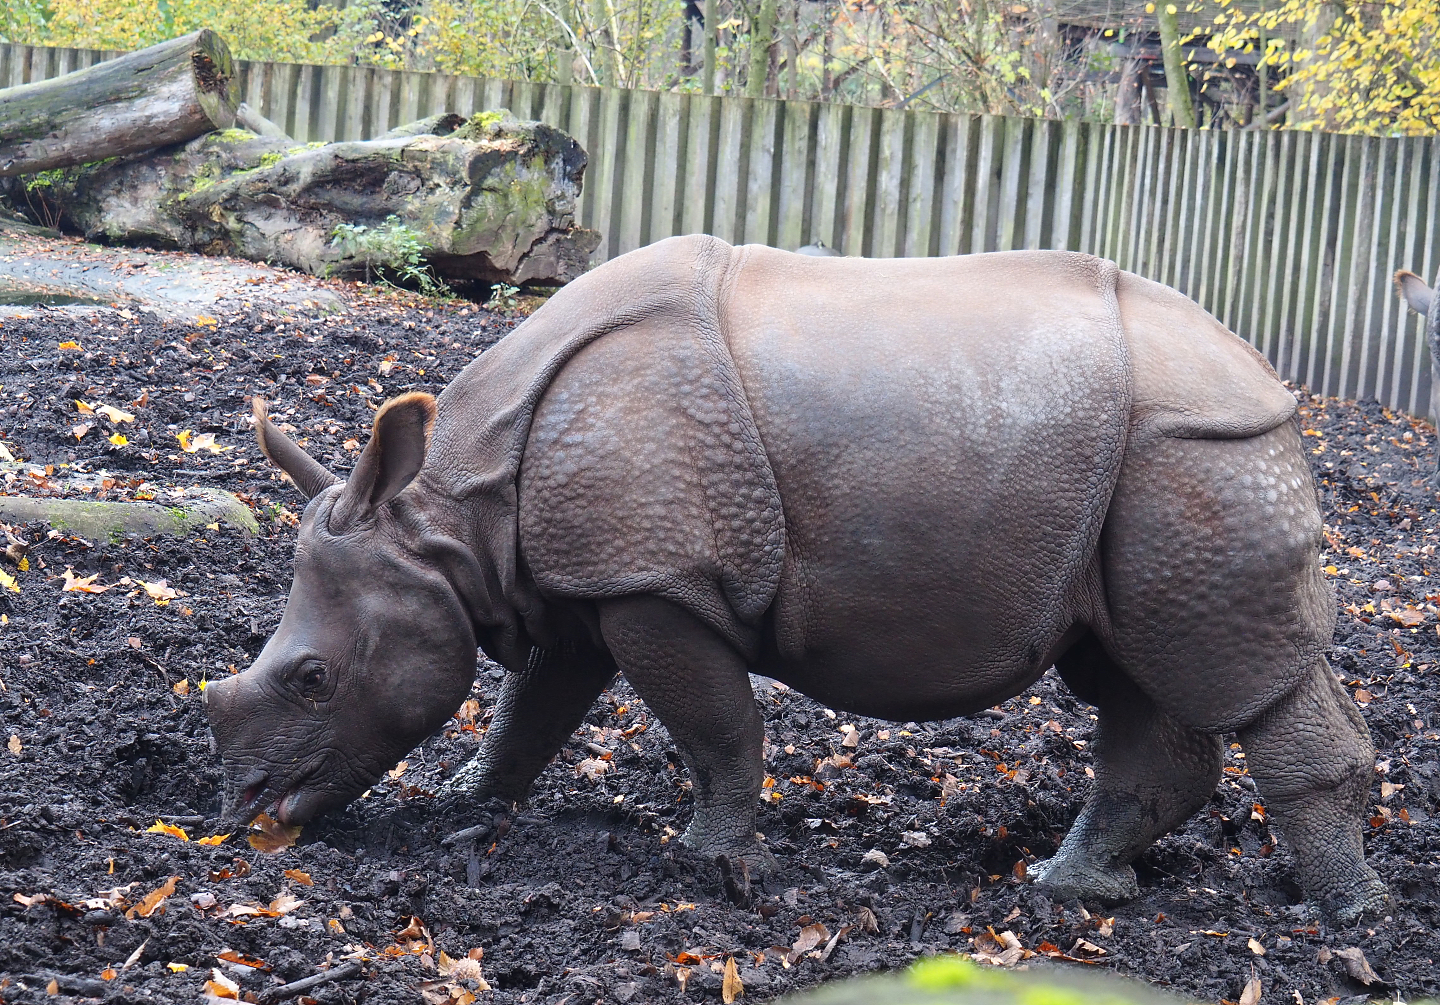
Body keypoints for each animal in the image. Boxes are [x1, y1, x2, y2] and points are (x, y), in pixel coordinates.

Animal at [204, 235, 1388, 924]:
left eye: (313, 678)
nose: (247, 808)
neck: (451, 517)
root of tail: (1269, 381)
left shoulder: (657, 580)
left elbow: (714, 723)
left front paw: (710, 865)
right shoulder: (589, 574)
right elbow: (533, 704)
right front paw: (469, 804)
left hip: (1200, 455)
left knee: (1230, 672)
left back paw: (1345, 923)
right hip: (1153, 463)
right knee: (1132, 669)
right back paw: (1077, 890)